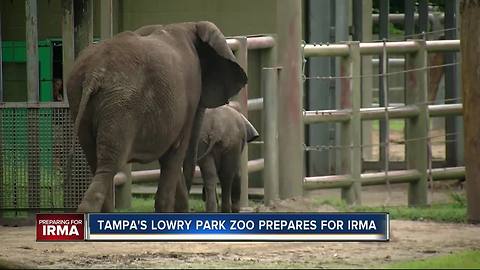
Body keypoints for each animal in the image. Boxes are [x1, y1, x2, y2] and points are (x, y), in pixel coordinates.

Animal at [66, 21, 248, 213]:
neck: (188, 25)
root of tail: (94, 73)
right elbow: (176, 151)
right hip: (121, 106)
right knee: (109, 166)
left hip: (79, 98)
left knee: (95, 162)